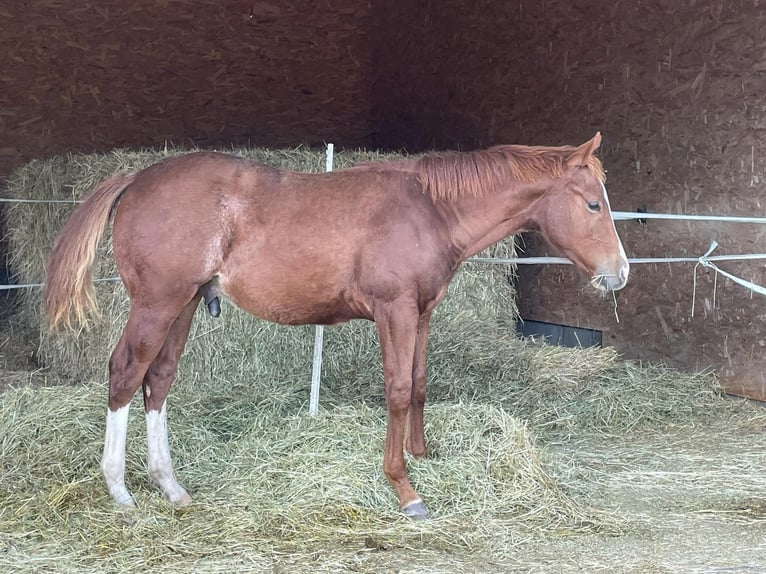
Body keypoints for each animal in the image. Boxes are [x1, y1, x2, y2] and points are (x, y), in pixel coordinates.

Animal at [45, 133, 632, 520]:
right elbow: (397, 390)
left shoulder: (421, 314)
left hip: (184, 303)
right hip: (157, 303)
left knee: (159, 379)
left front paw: (423, 455)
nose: (621, 273)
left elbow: (419, 383)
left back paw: (170, 485)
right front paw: (404, 487)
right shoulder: (394, 311)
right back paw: (120, 490)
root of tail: (138, 177)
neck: (429, 209)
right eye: (592, 204)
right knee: (126, 373)